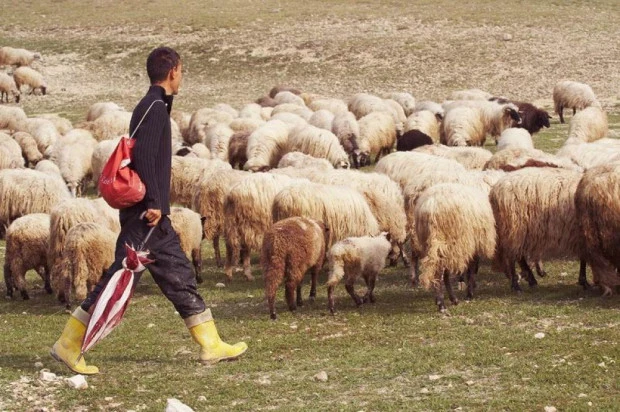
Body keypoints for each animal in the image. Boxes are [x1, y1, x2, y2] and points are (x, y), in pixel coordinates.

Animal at [414, 182, 496, 310]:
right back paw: (444, 303)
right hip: (451, 243)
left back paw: (443, 300)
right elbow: (471, 269)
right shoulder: (472, 245)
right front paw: (469, 293)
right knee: (442, 272)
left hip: (428, 242)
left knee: (438, 270)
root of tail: (432, 207)